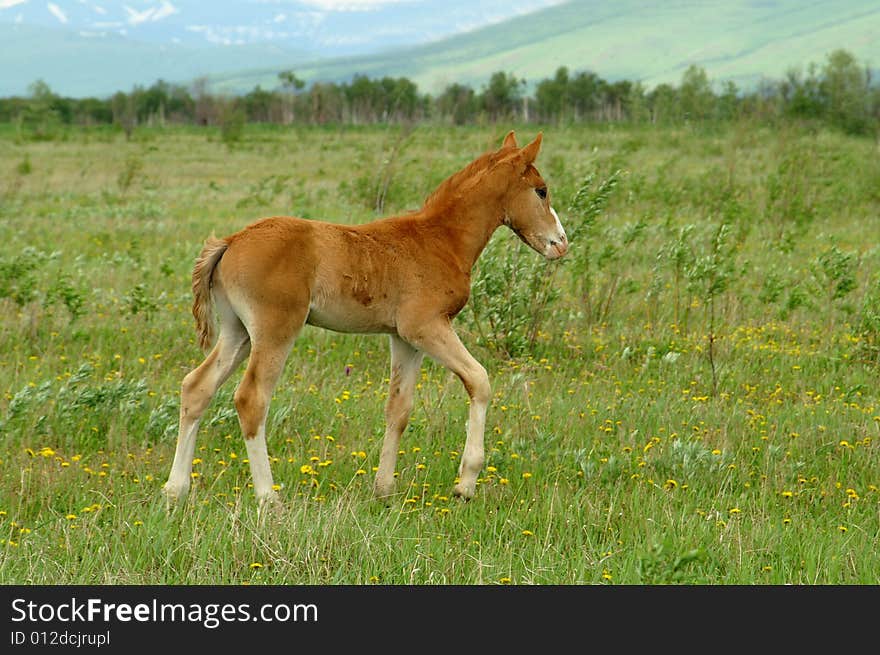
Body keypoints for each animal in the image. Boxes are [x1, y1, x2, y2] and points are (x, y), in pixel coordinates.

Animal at [162, 129, 568, 508]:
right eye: (542, 190)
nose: (561, 244)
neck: (441, 238)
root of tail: (231, 241)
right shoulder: (426, 327)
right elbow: (479, 380)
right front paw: (465, 484)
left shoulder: (403, 338)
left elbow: (398, 409)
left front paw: (383, 489)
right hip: (275, 329)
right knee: (251, 399)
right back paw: (268, 498)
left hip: (237, 332)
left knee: (196, 387)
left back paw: (175, 489)